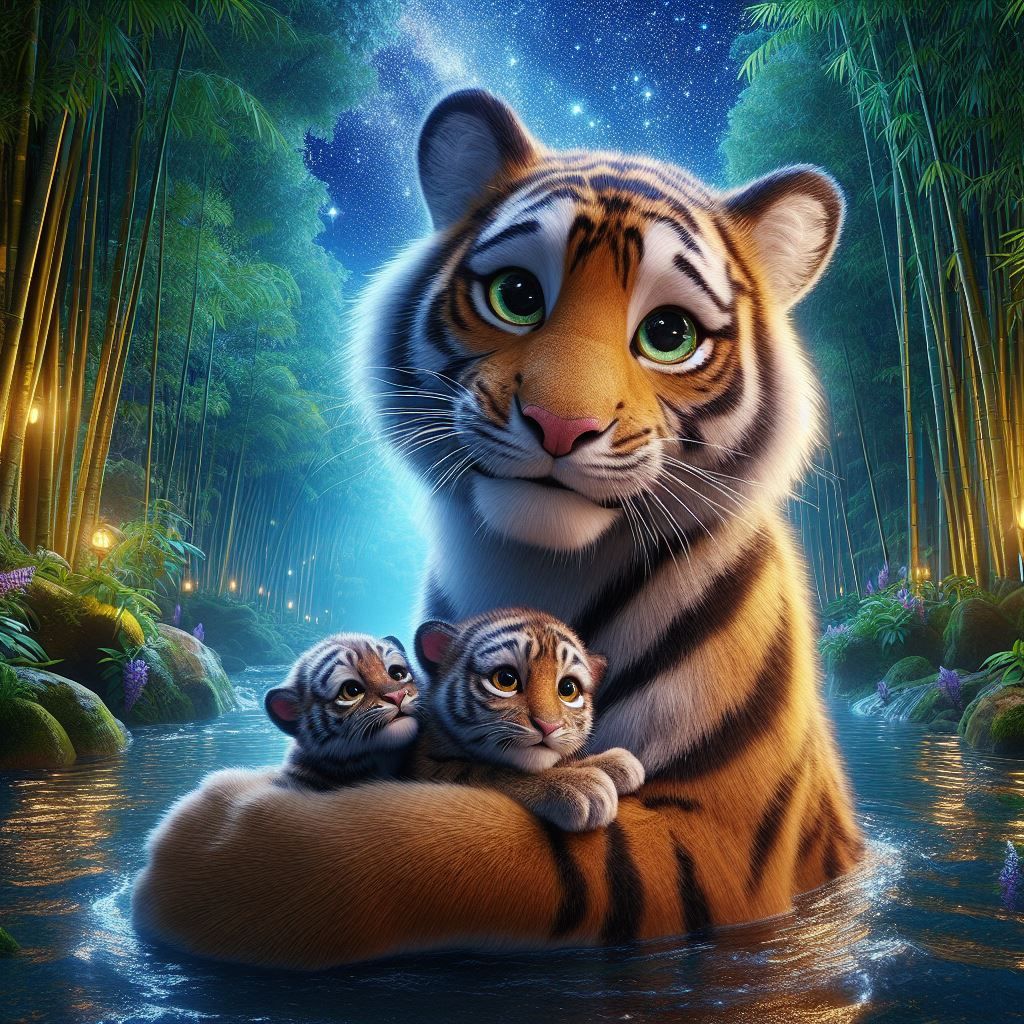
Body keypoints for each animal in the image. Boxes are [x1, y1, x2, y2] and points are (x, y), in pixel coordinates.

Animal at [412, 609, 645, 831]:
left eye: (568, 689)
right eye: (506, 679)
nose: (549, 726)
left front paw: (615, 762)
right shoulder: (426, 764)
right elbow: (487, 771)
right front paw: (581, 786)